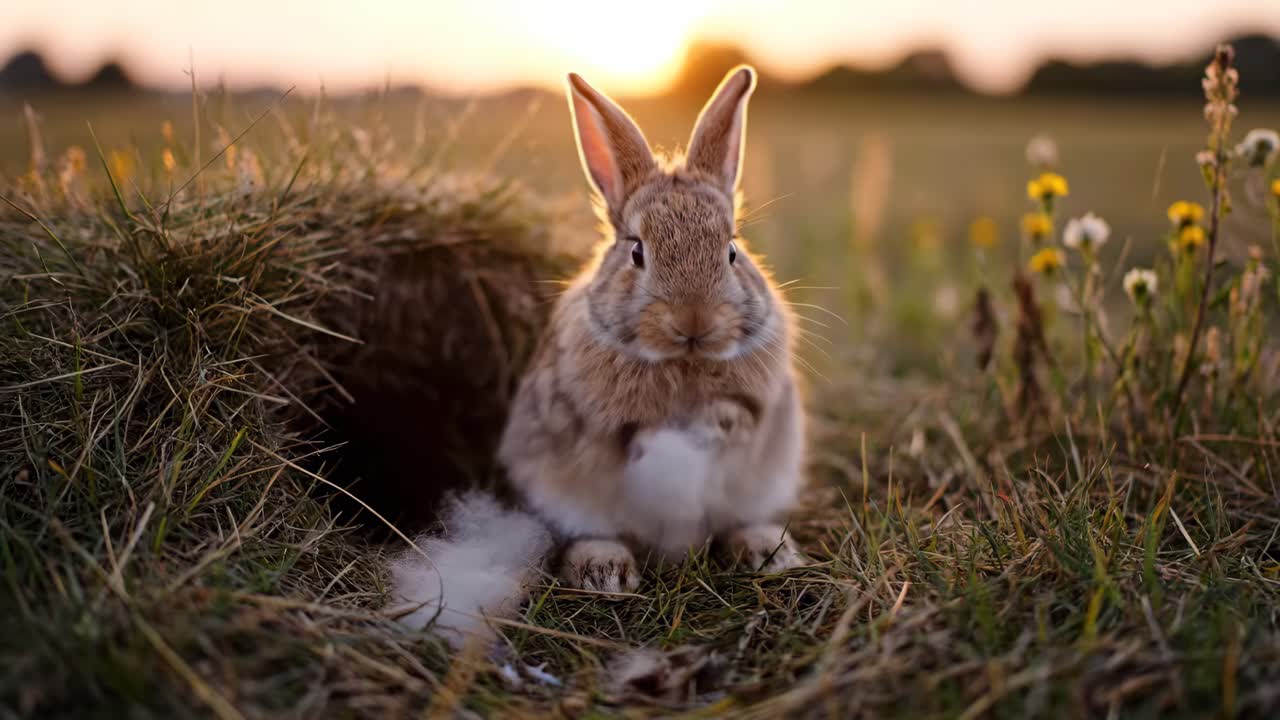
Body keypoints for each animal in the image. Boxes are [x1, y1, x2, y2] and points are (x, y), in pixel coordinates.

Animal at [390, 65, 806, 643]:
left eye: (731, 251)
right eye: (637, 252)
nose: (693, 321)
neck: (682, 363)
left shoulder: (764, 404)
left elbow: (740, 416)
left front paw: (712, 425)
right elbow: (623, 435)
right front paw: (661, 439)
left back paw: (770, 551)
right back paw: (604, 572)